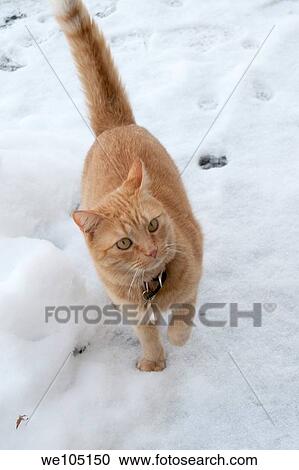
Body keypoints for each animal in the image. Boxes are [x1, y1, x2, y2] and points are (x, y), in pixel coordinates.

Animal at [54, 0, 204, 370]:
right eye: (124, 243)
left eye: (152, 225)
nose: (151, 251)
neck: (151, 286)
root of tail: (115, 127)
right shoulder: (134, 310)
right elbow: (147, 335)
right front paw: (153, 362)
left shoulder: (192, 280)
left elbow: (182, 320)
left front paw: (176, 339)